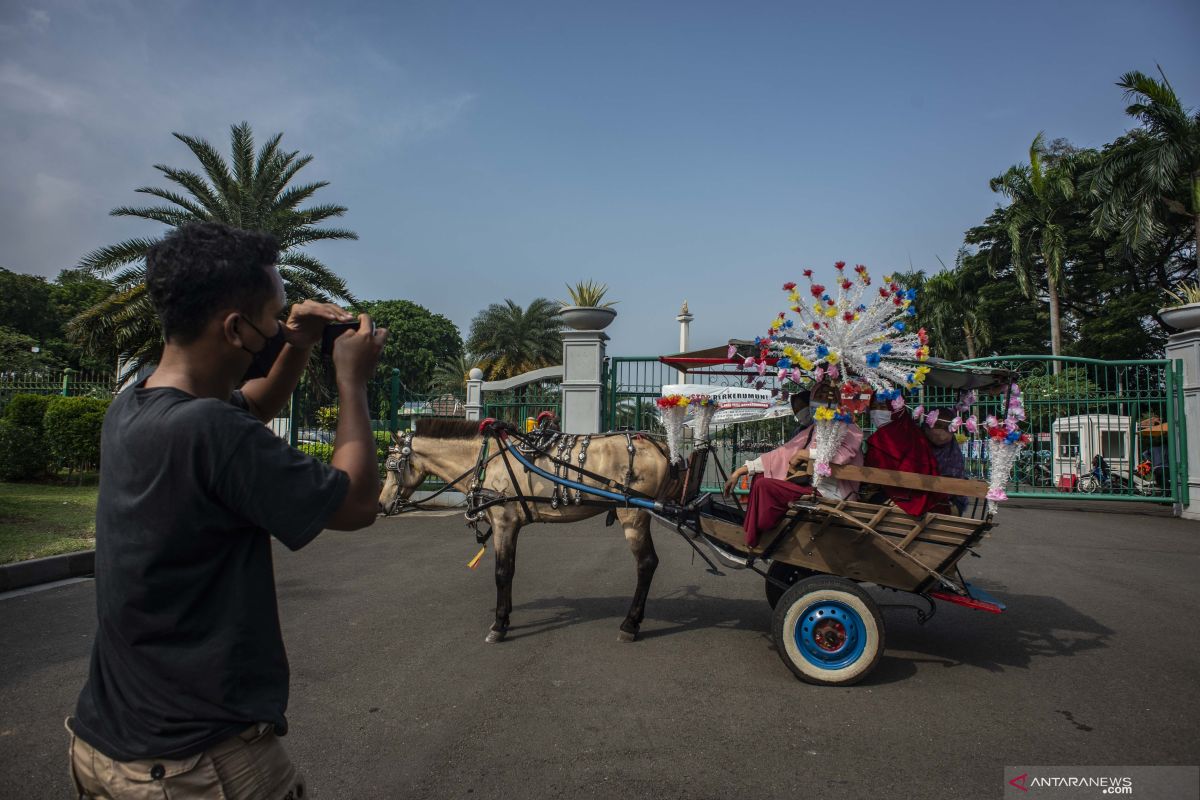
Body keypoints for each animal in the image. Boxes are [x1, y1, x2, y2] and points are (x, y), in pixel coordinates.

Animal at [379, 419, 681, 642]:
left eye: (392, 467)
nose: (381, 505)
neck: (485, 460)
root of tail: (659, 446)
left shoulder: (503, 522)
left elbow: (501, 573)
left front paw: (498, 624)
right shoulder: (511, 525)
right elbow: (510, 570)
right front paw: (506, 616)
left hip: (634, 515)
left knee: (646, 563)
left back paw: (630, 624)